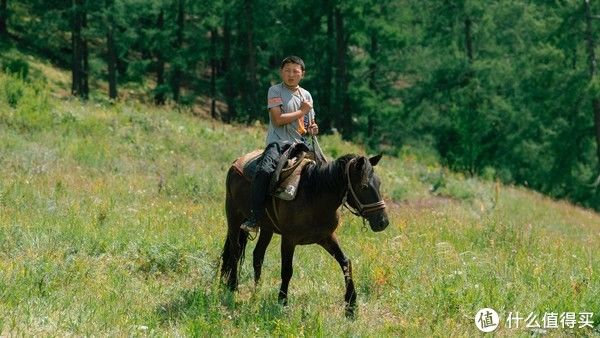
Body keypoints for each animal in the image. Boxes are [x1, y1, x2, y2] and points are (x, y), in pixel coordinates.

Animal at [220, 153, 390, 316]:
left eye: (379, 183)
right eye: (364, 186)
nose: (383, 222)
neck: (314, 197)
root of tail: (237, 162)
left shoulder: (326, 237)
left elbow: (345, 262)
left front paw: (351, 306)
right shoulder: (289, 240)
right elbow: (287, 270)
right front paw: (282, 303)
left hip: (267, 228)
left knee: (257, 255)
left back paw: (257, 290)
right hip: (234, 217)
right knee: (235, 251)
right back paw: (232, 286)